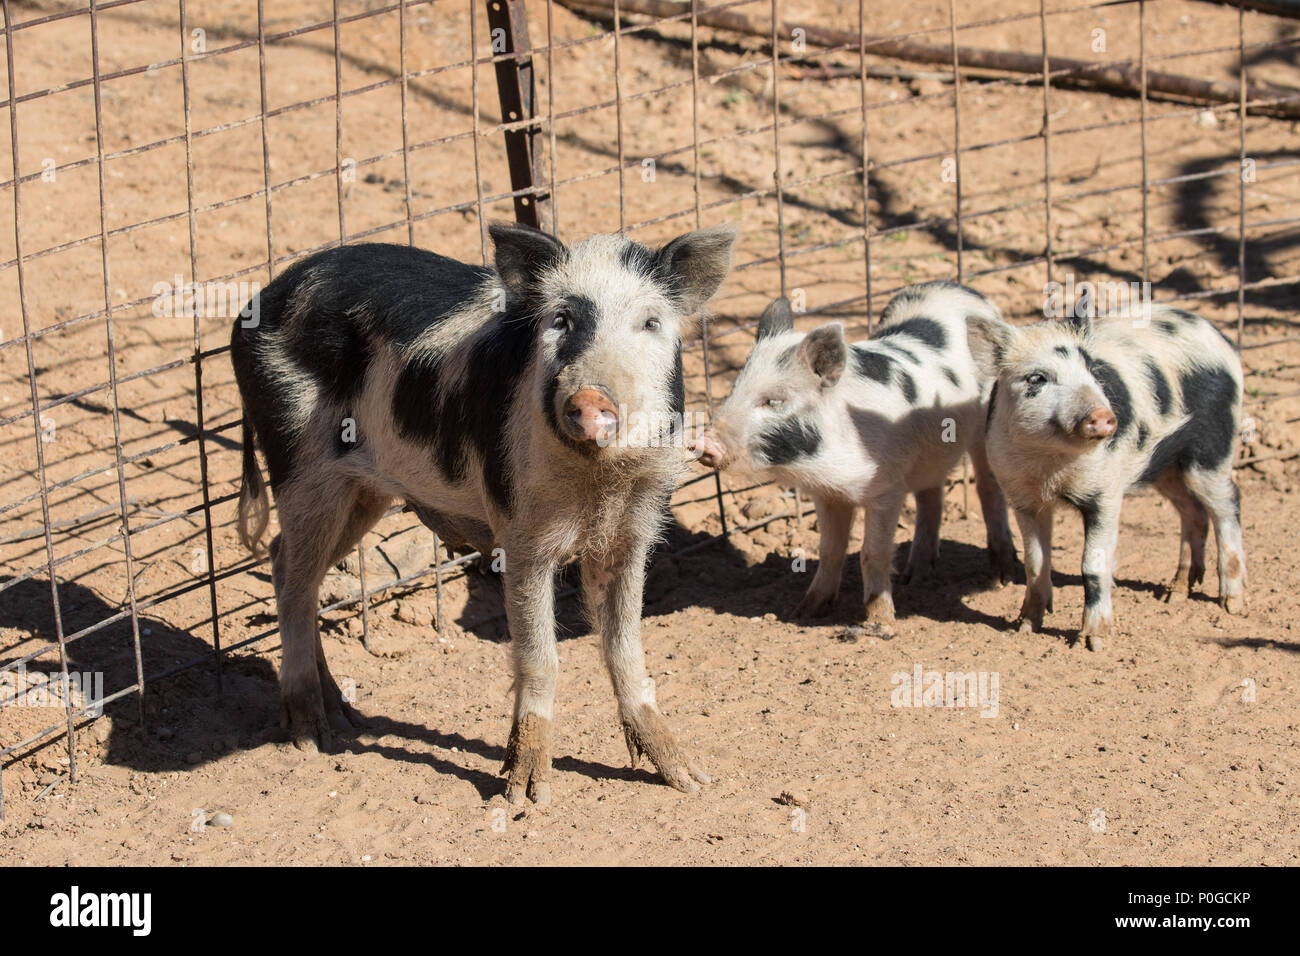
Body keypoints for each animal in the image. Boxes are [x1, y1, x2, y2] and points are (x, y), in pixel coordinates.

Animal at [227, 222, 733, 801]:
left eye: (650, 322)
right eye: (561, 320)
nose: (589, 400)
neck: (598, 484)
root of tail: (255, 305)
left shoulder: (634, 532)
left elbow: (626, 650)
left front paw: (688, 780)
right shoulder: (521, 531)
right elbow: (541, 657)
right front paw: (525, 796)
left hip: (362, 490)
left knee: (285, 563)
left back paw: (344, 717)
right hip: (299, 462)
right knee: (291, 579)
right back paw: (313, 737)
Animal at [696, 280, 1019, 632]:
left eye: (773, 401)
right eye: (734, 390)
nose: (705, 444)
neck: (827, 464)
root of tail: (959, 286)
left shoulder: (887, 488)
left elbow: (871, 553)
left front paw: (880, 624)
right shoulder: (827, 495)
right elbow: (829, 550)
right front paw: (804, 612)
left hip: (986, 424)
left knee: (988, 490)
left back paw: (1004, 575)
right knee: (930, 494)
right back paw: (914, 577)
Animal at [977, 306, 1248, 650]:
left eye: (1091, 372)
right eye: (1037, 378)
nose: (1103, 416)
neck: (1049, 467)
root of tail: (1220, 337)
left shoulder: (1105, 492)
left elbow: (1093, 565)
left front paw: (1091, 643)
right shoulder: (1022, 497)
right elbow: (1035, 562)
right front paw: (1025, 627)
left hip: (1213, 450)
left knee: (1229, 504)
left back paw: (1232, 604)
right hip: (1166, 465)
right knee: (1194, 511)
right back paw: (1174, 595)